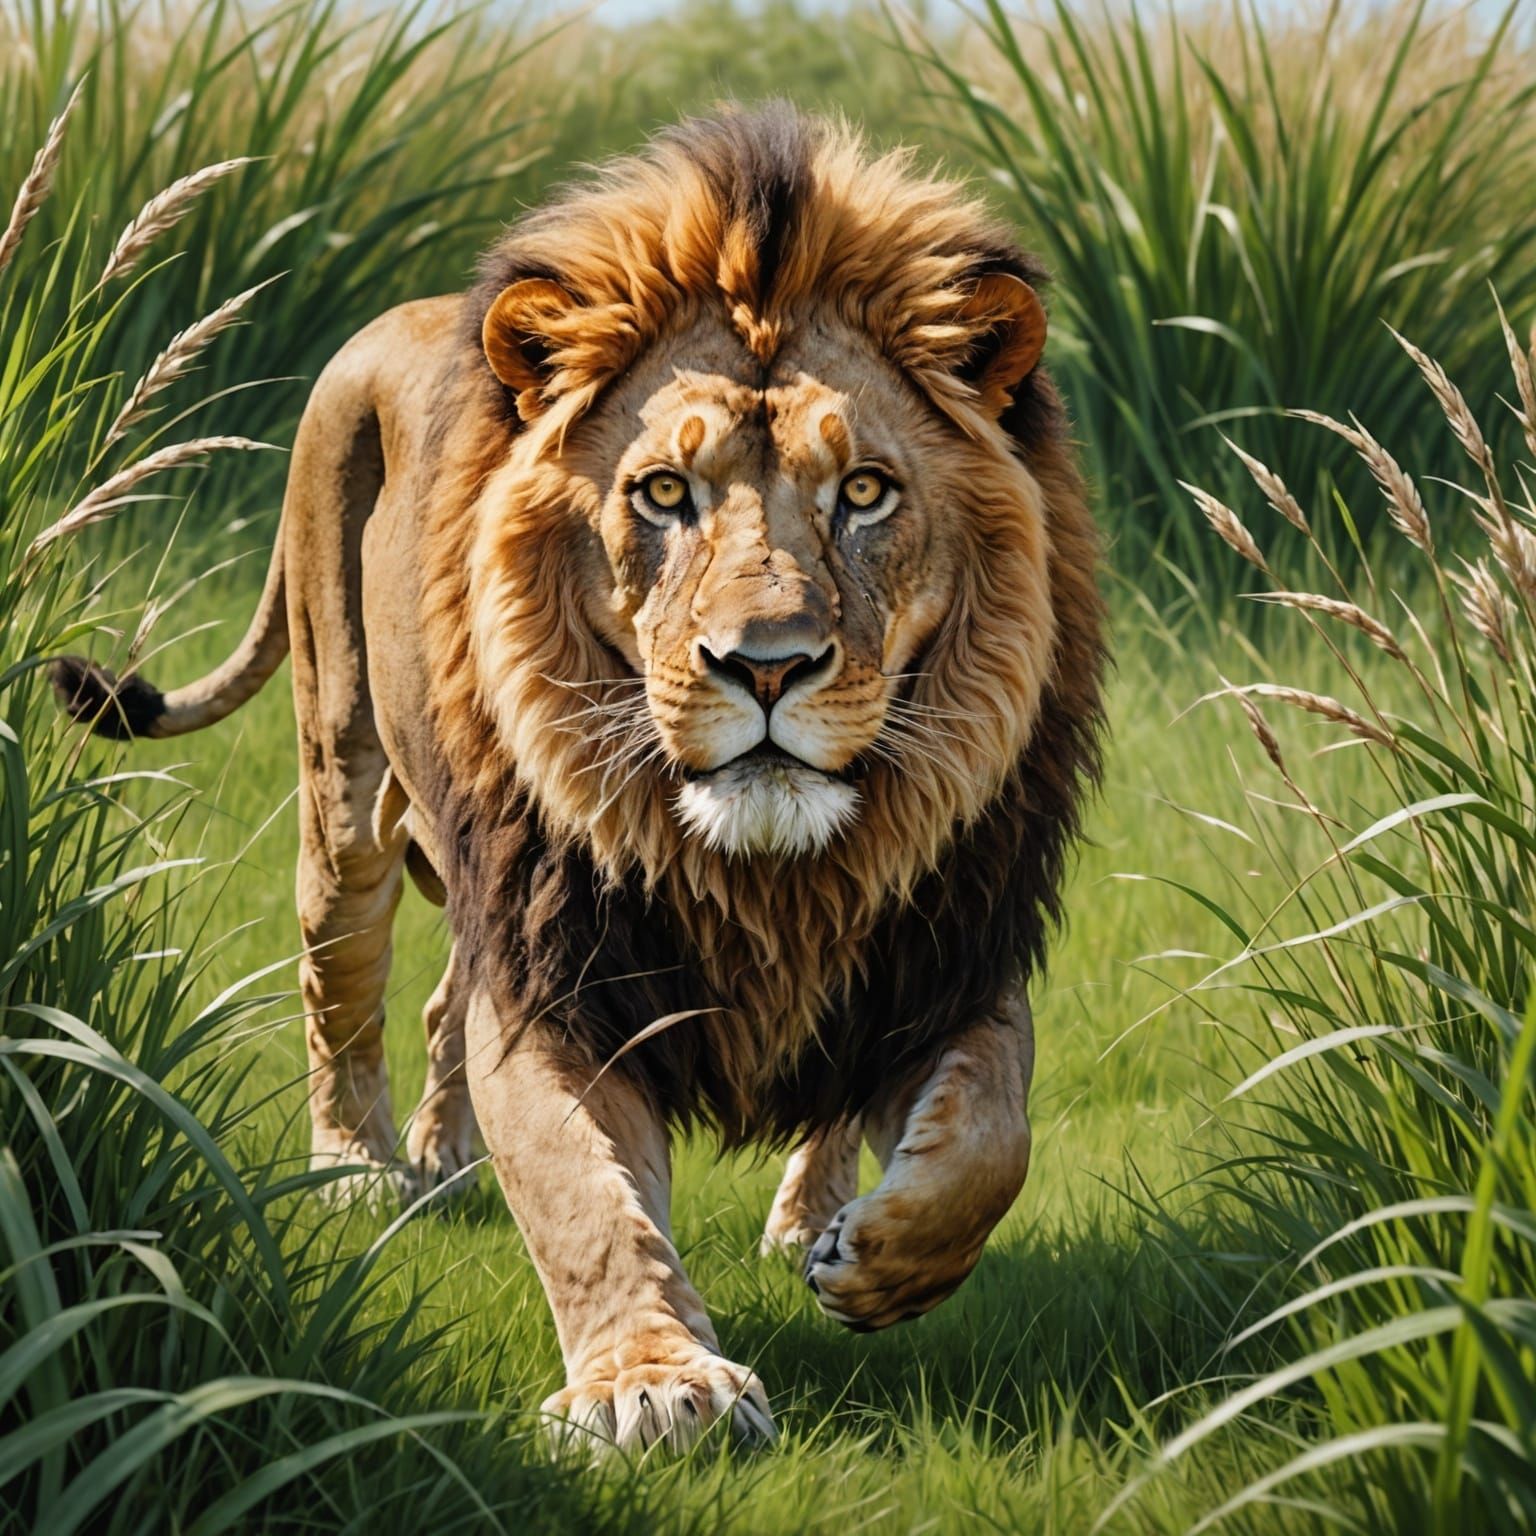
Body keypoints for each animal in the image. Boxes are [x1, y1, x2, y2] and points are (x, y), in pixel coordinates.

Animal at [52, 106, 1104, 1452]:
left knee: (447, 1007)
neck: (762, 875)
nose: (768, 665)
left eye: (865, 492)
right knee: (341, 979)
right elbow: (580, 1197)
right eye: (662, 492)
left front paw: (874, 1259)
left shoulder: (946, 945)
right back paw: (362, 1172)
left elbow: (993, 1133)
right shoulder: (562, 965)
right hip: (346, 775)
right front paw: (652, 1383)